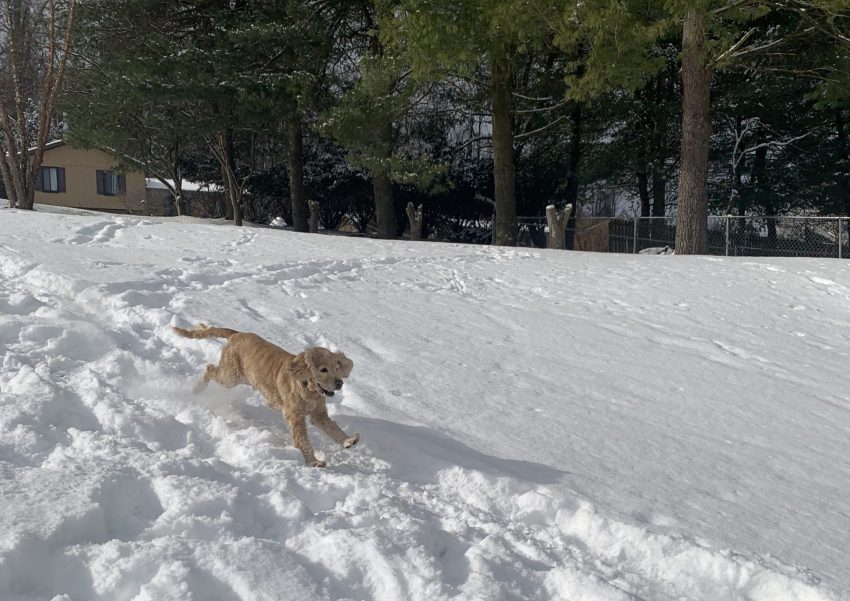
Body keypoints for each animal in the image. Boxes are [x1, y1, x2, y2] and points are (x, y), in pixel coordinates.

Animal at [172, 326, 358, 466]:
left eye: (336, 368)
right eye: (323, 369)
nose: (339, 383)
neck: (307, 386)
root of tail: (236, 334)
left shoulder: (318, 413)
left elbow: (333, 428)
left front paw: (349, 441)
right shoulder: (294, 415)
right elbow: (302, 439)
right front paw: (314, 462)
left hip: (243, 377)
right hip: (231, 375)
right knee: (210, 369)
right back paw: (197, 389)